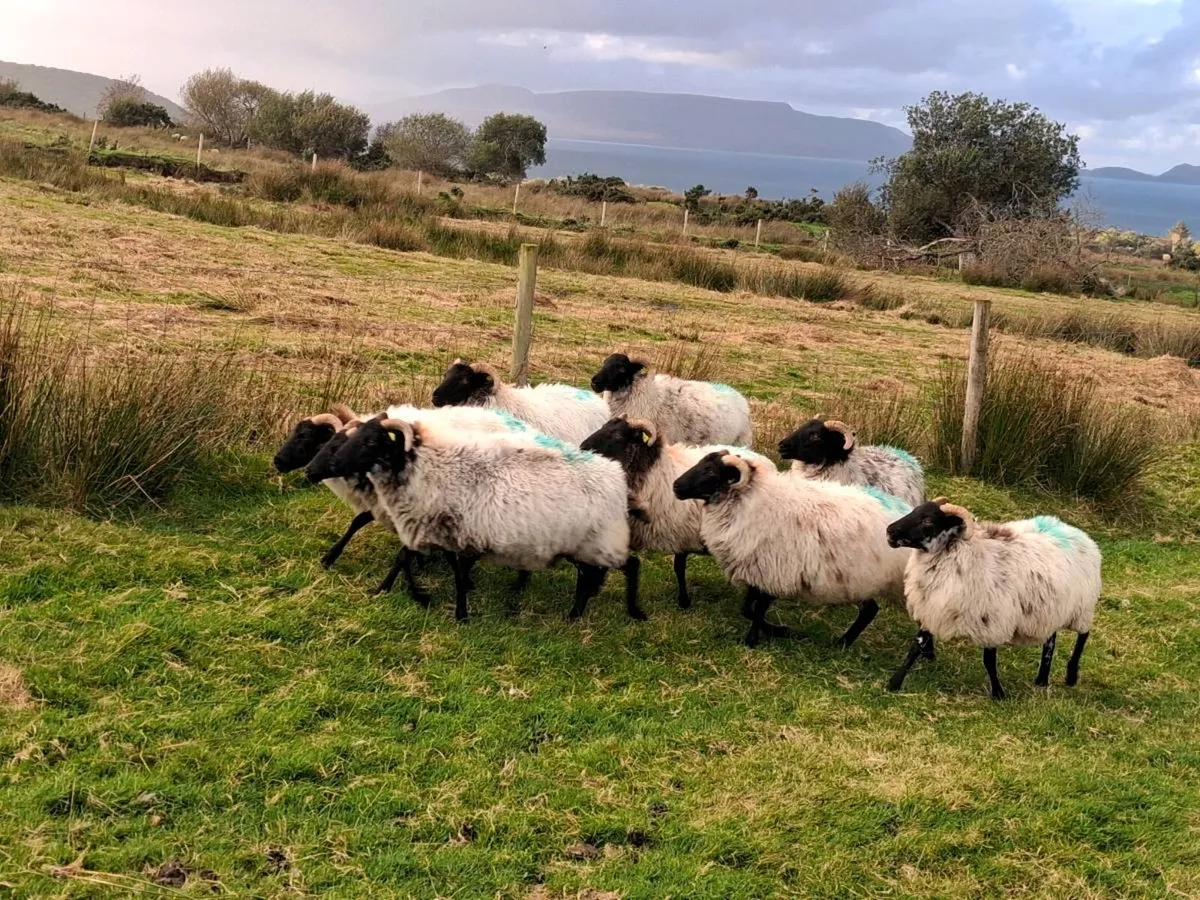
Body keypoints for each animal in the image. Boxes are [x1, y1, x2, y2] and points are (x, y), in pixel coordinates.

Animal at [324, 415, 645, 623]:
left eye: (370, 441)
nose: (335, 464)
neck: (427, 468)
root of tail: (616, 475)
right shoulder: (444, 531)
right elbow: (414, 560)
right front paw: (410, 593)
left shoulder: (454, 531)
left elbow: (449, 571)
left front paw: (458, 613)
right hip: (581, 545)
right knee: (591, 577)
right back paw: (575, 614)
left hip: (600, 541)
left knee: (629, 566)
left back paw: (628, 612)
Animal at [580, 416, 771, 609]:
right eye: (604, 427)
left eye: (618, 435)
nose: (583, 447)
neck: (652, 473)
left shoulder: (682, 532)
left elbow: (679, 567)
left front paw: (684, 601)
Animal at [672, 450, 913, 647]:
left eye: (711, 470)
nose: (676, 486)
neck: (750, 501)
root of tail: (901, 511)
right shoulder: (755, 569)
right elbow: (747, 609)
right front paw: (777, 631)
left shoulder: (773, 572)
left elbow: (757, 610)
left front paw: (754, 639)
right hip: (860, 580)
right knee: (870, 610)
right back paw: (842, 643)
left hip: (865, 578)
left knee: (869, 610)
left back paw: (842, 643)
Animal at [884, 499, 1101, 700]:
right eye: (915, 511)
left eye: (927, 521)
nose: (889, 531)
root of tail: (1076, 531)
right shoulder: (932, 609)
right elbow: (916, 647)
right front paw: (894, 682)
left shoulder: (992, 620)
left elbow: (989, 660)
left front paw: (998, 693)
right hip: (1050, 610)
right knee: (1051, 641)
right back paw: (1041, 679)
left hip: (1082, 608)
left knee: (1083, 635)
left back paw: (1071, 676)